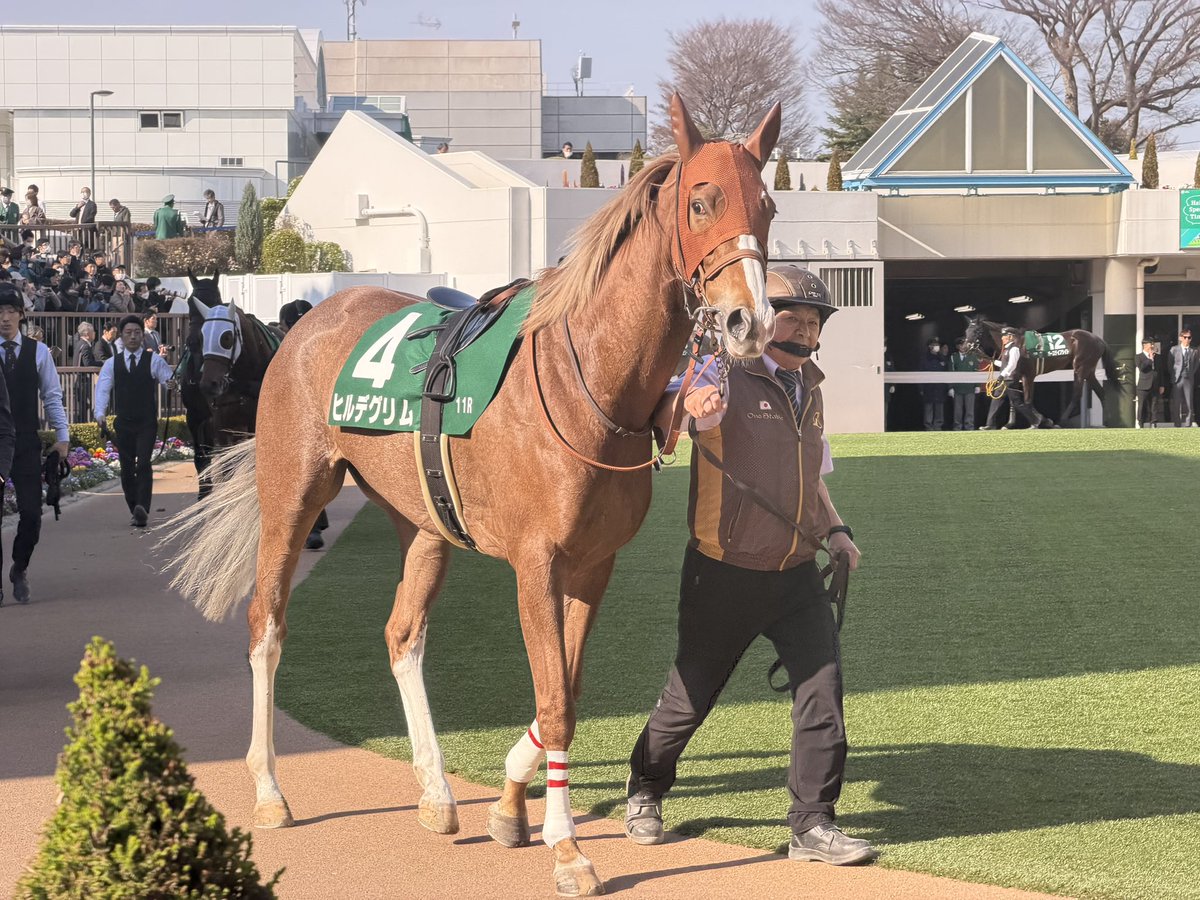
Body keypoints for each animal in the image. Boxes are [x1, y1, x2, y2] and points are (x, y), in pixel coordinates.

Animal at [163, 93, 781, 896]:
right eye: (703, 201)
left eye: (768, 206)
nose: (749, 321)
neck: (587, 379)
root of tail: (306, 322)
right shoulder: (537, 564)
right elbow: (555, 702)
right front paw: (566, 846)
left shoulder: (594, 566)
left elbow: (567, 691)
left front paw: (512, 803)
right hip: (292, 495)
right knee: (267, 625)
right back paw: (269, 790)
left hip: (423, 524)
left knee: (402, 635)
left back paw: (435, 792)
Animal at [962, 315, 1123, 426]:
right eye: (966, 331)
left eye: (977, 331)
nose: (964, 348)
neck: (1017, 344)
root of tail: (1098, 339)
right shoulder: (1016, 374)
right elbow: (1012, 397)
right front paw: (1041, 420)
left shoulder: (1028, 375)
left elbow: (1027, 400)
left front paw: (1040, 421)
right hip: (1089, 370)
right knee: (1101, 392)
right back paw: (1108, 421)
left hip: (1080, 368)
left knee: (1076, 395)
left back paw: (1061, 421)